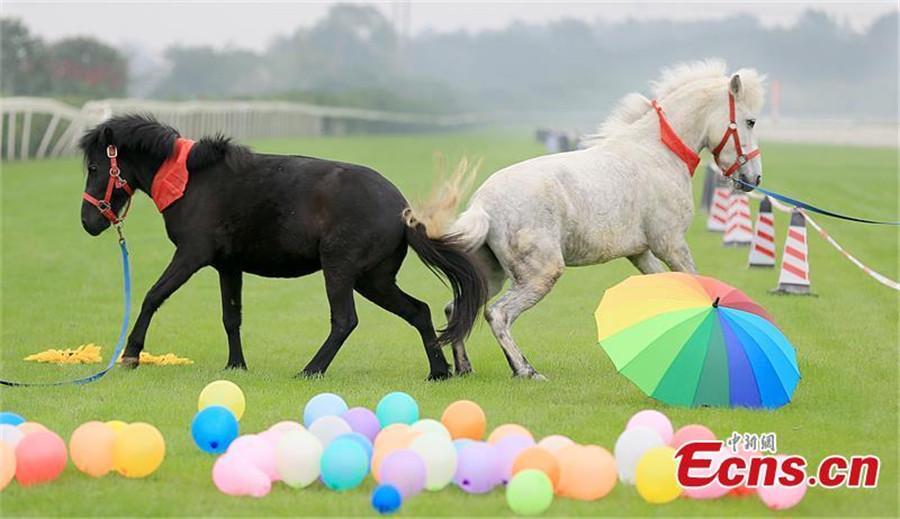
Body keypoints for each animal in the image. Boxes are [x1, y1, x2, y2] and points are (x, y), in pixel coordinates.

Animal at [79, 115, 487, 380]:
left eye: (95, 168)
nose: (88, 221)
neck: (191, 180)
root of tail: (402, 210)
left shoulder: (191, 255)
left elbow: (152, 296)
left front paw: (131, 354)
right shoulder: (228, 266)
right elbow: (231, 317)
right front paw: (236, 366)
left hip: (341, 270)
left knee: (345, 320)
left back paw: (311, 369)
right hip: (374, 280)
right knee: (418, 311)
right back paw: (438, 371)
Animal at [419, 60, 765, 379]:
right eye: (750, 121)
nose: (754, 179)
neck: (657, 154)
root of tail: (482, 205)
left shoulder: (641, 253)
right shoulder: (671, 245)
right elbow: (696, 286)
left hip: (490, 275)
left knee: (457, 308)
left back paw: (464, 368)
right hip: (539, 275)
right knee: (497, 314)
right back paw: (526, 371)